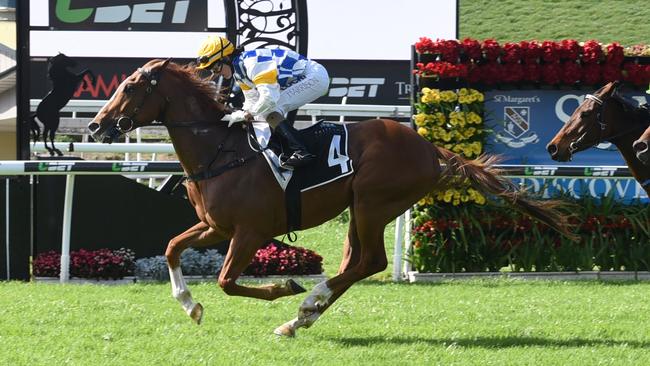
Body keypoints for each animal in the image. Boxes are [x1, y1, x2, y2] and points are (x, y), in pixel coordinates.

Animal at [86, 59, 572, 338]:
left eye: (130, 87)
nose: (95, 126)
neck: (220, 152)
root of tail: (428, 147)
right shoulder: (214, 226)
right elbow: (171, 247)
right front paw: (191, 306)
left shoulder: (249, 231)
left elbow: (226, 280)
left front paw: (285, 285)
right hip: (359, 209)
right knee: (355, 264)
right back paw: (300, 318)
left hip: (374, 204)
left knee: (369, 262)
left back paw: (305, 301)